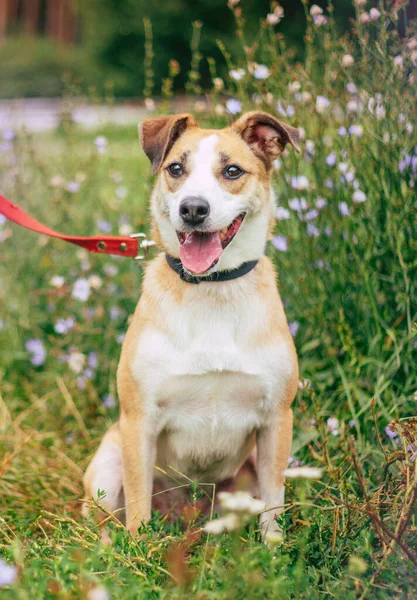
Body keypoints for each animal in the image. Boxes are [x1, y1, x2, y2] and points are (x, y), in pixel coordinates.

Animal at [83, 109, 300, 540]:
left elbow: (273, 506)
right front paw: (137, 552)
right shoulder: (139, 422)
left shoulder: (276, 420)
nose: (193, 209)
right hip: (107, 464)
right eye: (175, 169)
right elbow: (137, 506)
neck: (212, 289)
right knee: (103, 520)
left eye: (232, 171)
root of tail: (187, 516)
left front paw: (275, 551)